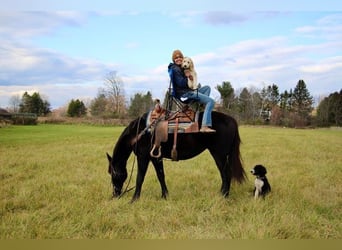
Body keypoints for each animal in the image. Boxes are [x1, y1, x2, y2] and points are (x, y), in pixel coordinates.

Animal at [107, 110, 246, 202]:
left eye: (113, 173)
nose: (115, 194)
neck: (140, 132)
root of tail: (231, 120)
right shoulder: (155, 157)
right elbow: (161, 176)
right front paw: (165, 196)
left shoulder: (143, 157)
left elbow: (140, 178)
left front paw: (134, 199)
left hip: (219, 154)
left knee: (226, 174)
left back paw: (223, 196)